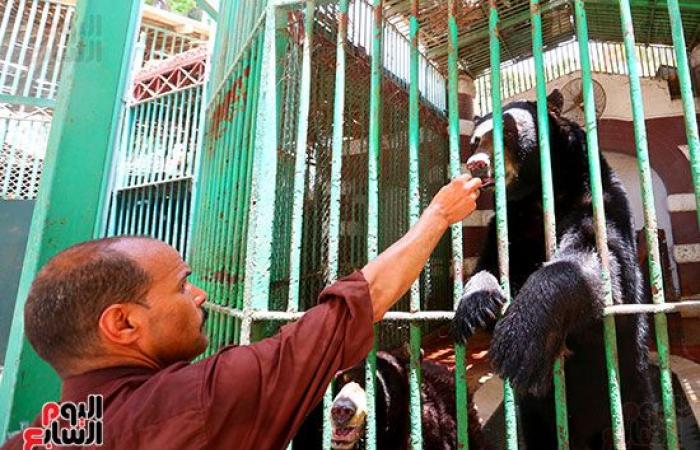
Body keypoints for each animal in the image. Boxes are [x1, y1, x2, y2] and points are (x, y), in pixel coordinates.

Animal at [454, 92, 656, 450]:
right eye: (476, 140)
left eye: (508, 132)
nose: (477, 163)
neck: (537, 199)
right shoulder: (510, 227)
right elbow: (489, 263)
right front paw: (476, 306)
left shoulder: (598, 202)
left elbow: (597, 261)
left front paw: (517, 339)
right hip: (537, 417)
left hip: (632, 392)